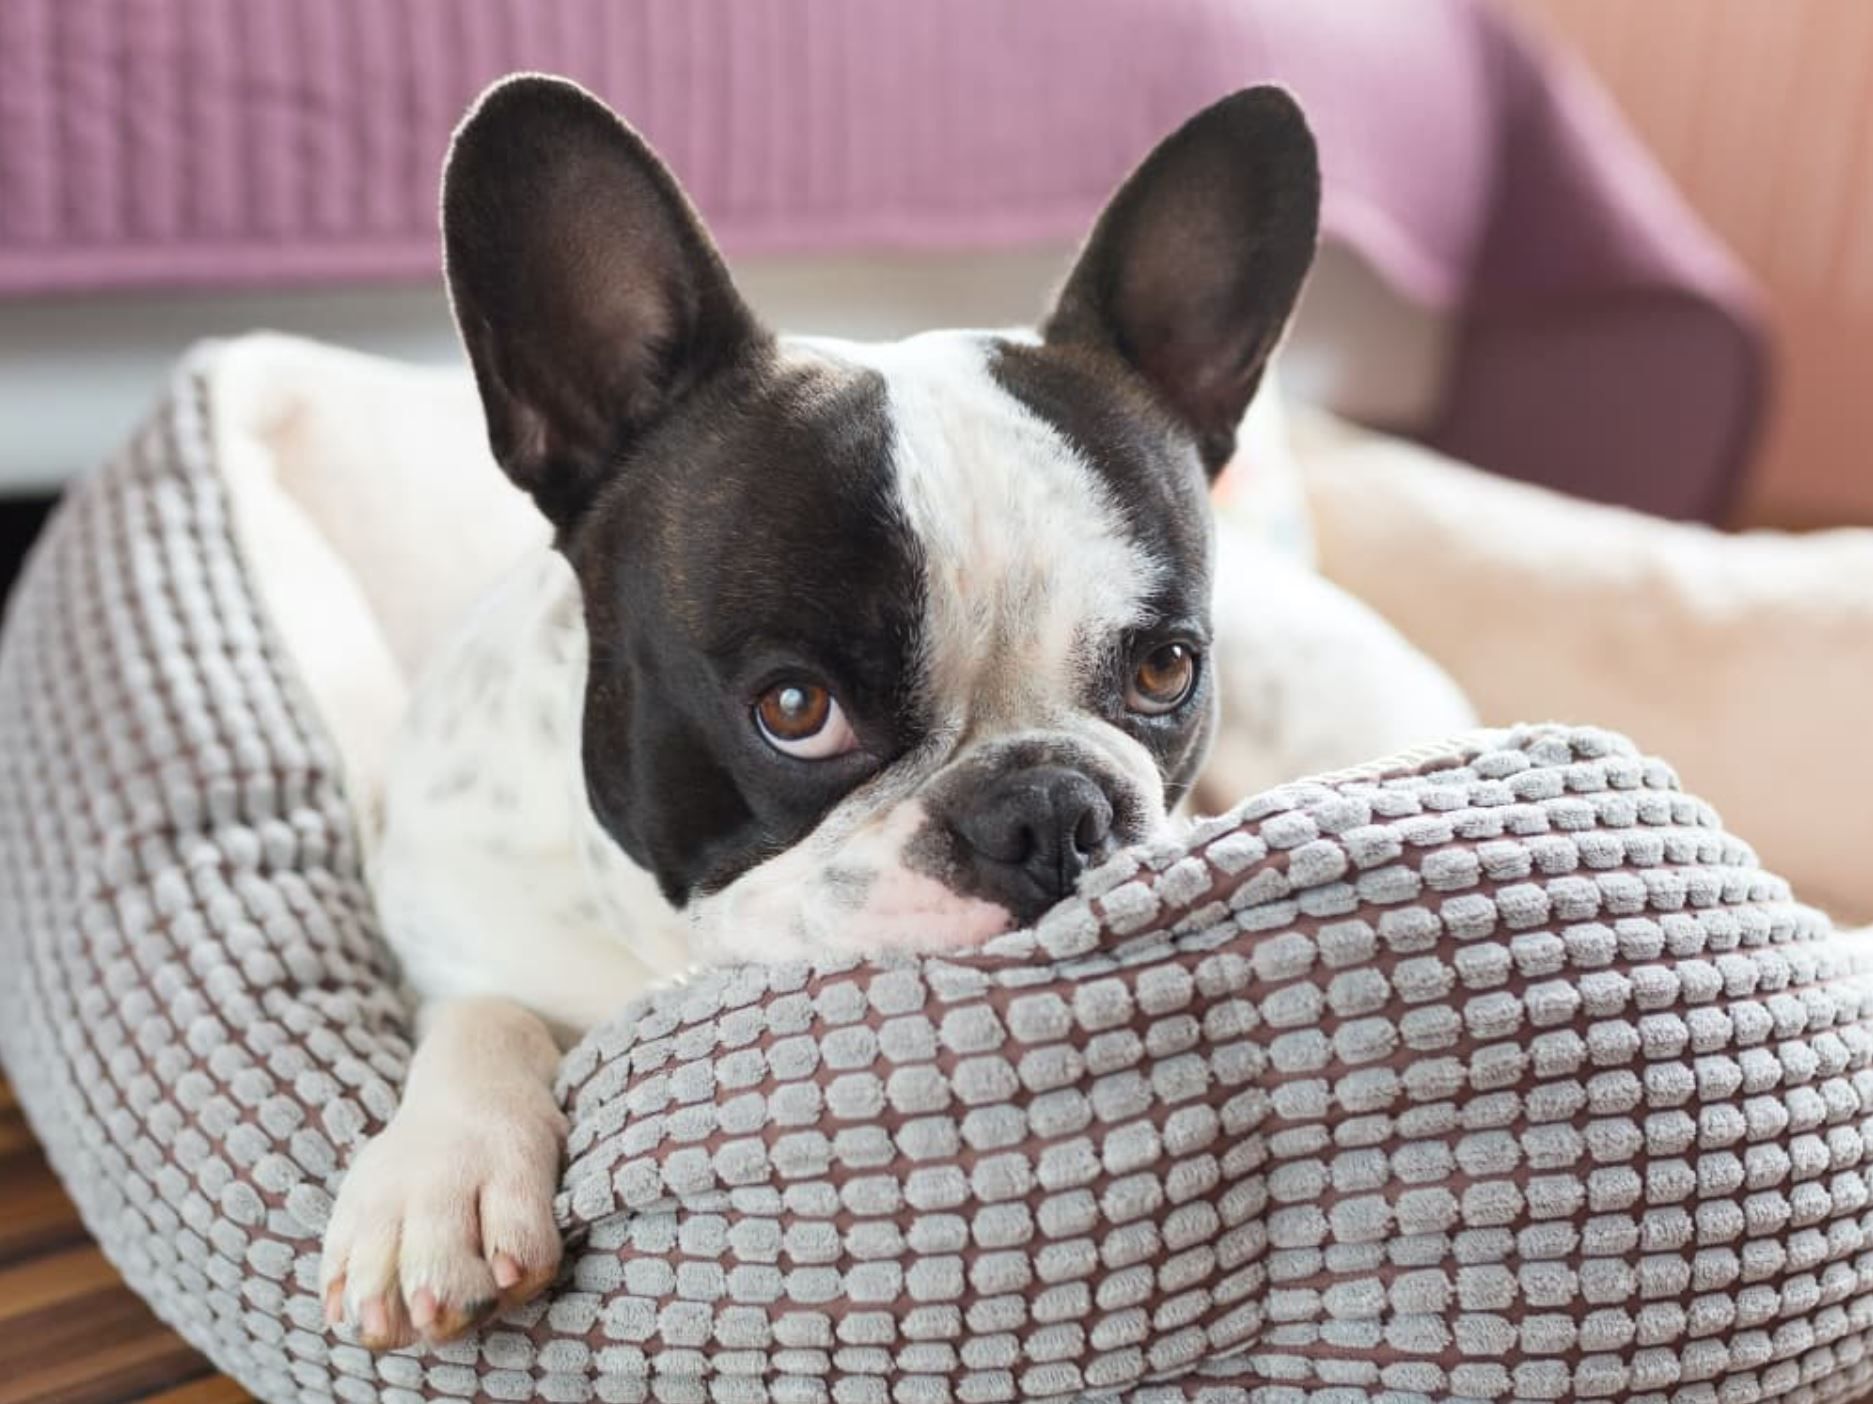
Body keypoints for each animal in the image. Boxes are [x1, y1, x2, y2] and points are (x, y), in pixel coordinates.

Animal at [314, 74, 1326, 1355]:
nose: (1050, 812)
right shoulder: (450, 921)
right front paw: (441, 1176)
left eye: (1164, 671)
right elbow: (480, 1012)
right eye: (796, 708)